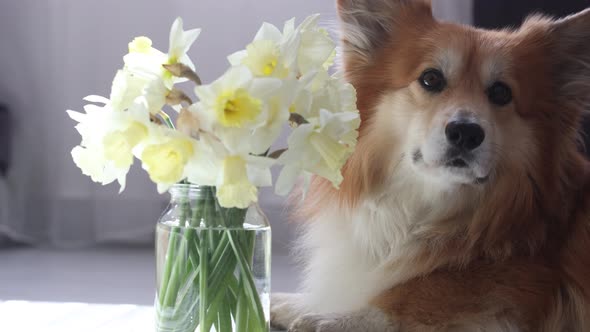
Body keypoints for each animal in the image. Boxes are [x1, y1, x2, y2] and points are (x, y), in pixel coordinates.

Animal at [272, 0, 590, 332]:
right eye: (431, 79)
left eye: (501, 92)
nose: (466, 132)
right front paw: (287, 303)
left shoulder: (526, 285)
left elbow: (415, 293)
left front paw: (331, 318)